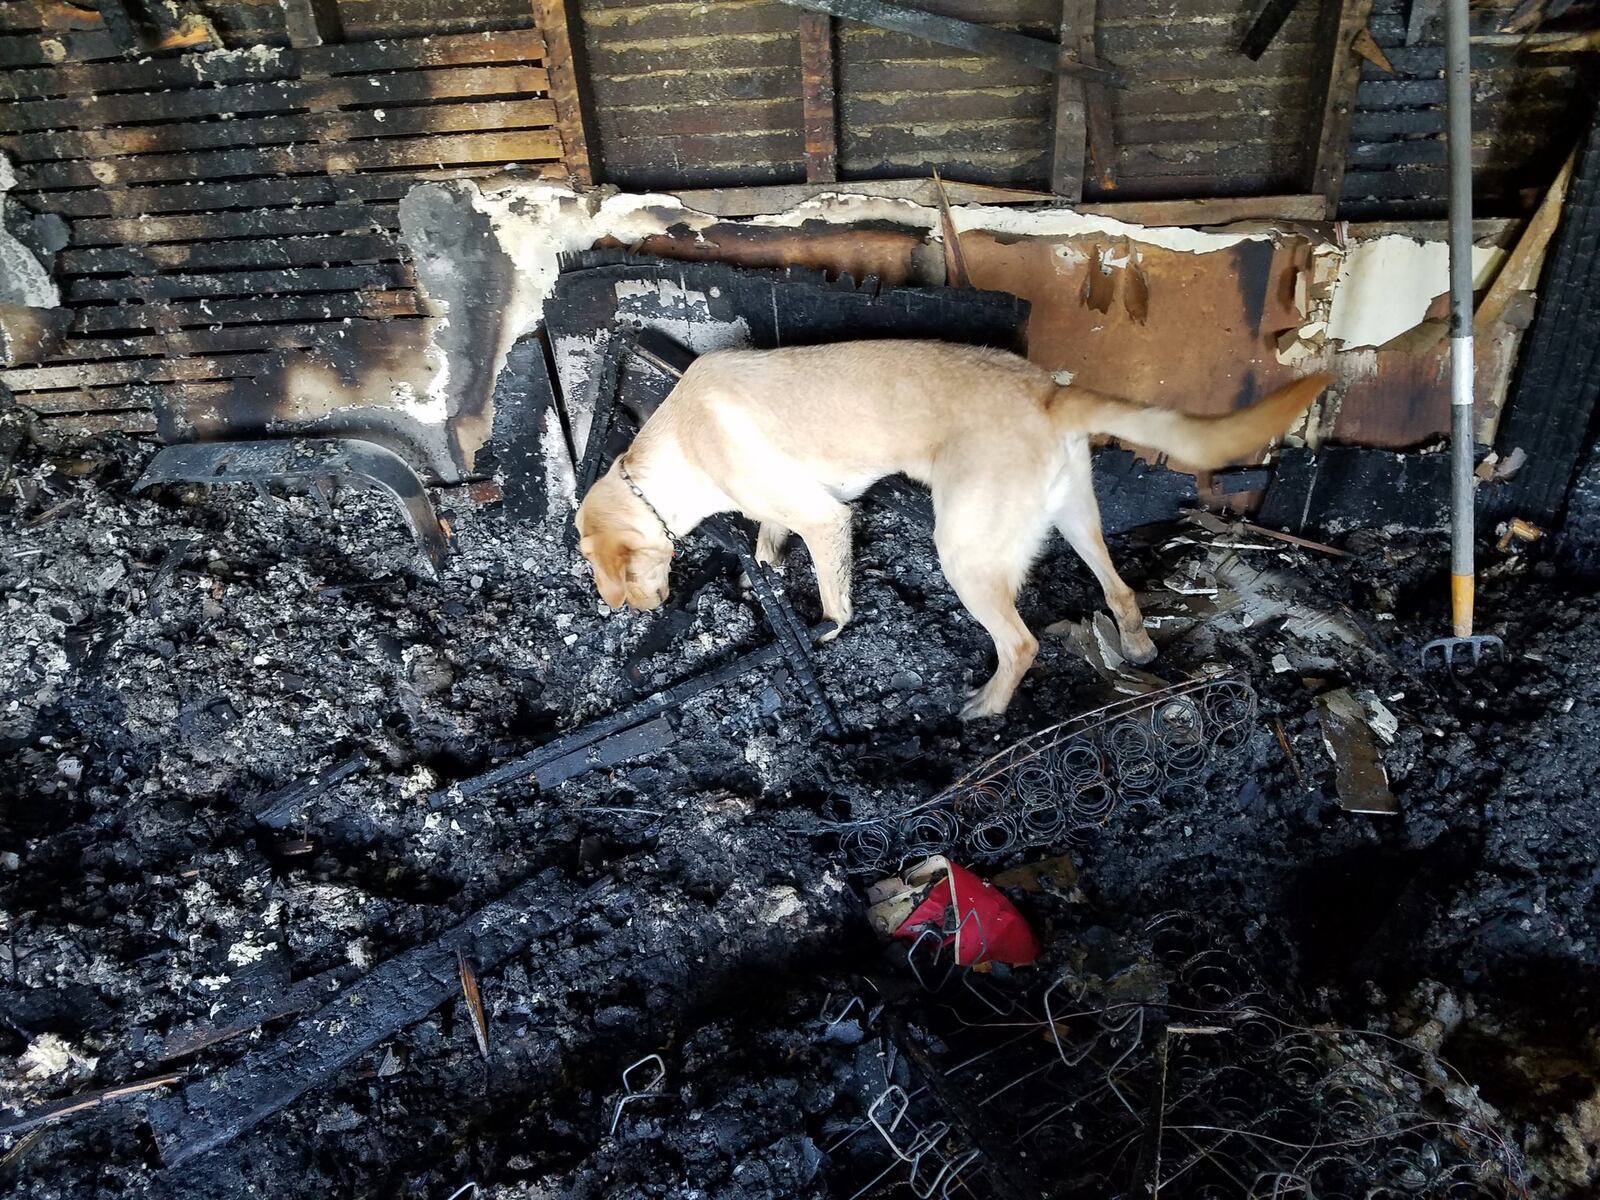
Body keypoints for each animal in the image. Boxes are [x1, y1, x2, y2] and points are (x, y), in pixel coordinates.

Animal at [576, 339, 1324, 720]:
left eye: (611, 576)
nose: (619, 611)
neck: (673, 454)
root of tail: (1048, 393)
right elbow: (767, 530)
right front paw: (765, 559)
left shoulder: (826, 518)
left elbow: (831, 593)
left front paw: (828, 630)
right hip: (1077, 517)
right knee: (1120, 589)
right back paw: (1137, 646)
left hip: (964, 552)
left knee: (1020, 644)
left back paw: (986, 707)